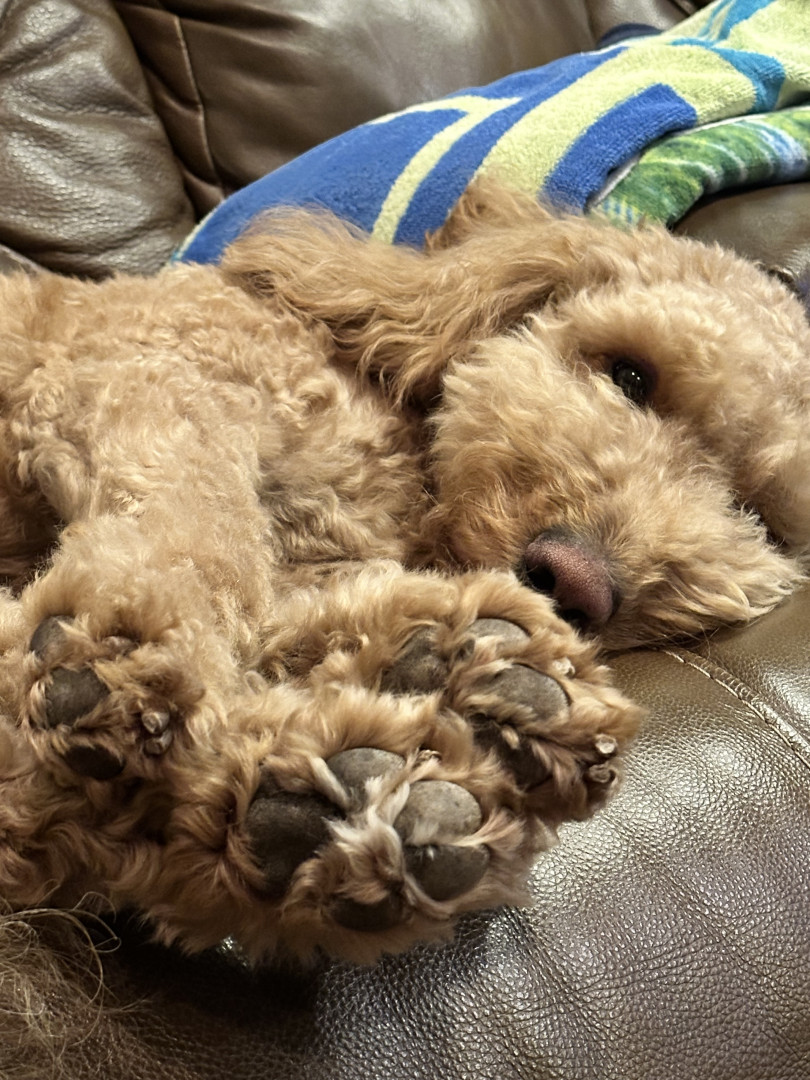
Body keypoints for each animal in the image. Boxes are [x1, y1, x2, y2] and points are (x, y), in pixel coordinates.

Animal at [0, 182, 807, 971]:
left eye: (758, 517)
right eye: (631, 375)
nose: (575, 578)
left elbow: (282, 615)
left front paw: (442, 649)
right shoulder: (146, 372)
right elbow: (206, 530)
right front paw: (128, 641)